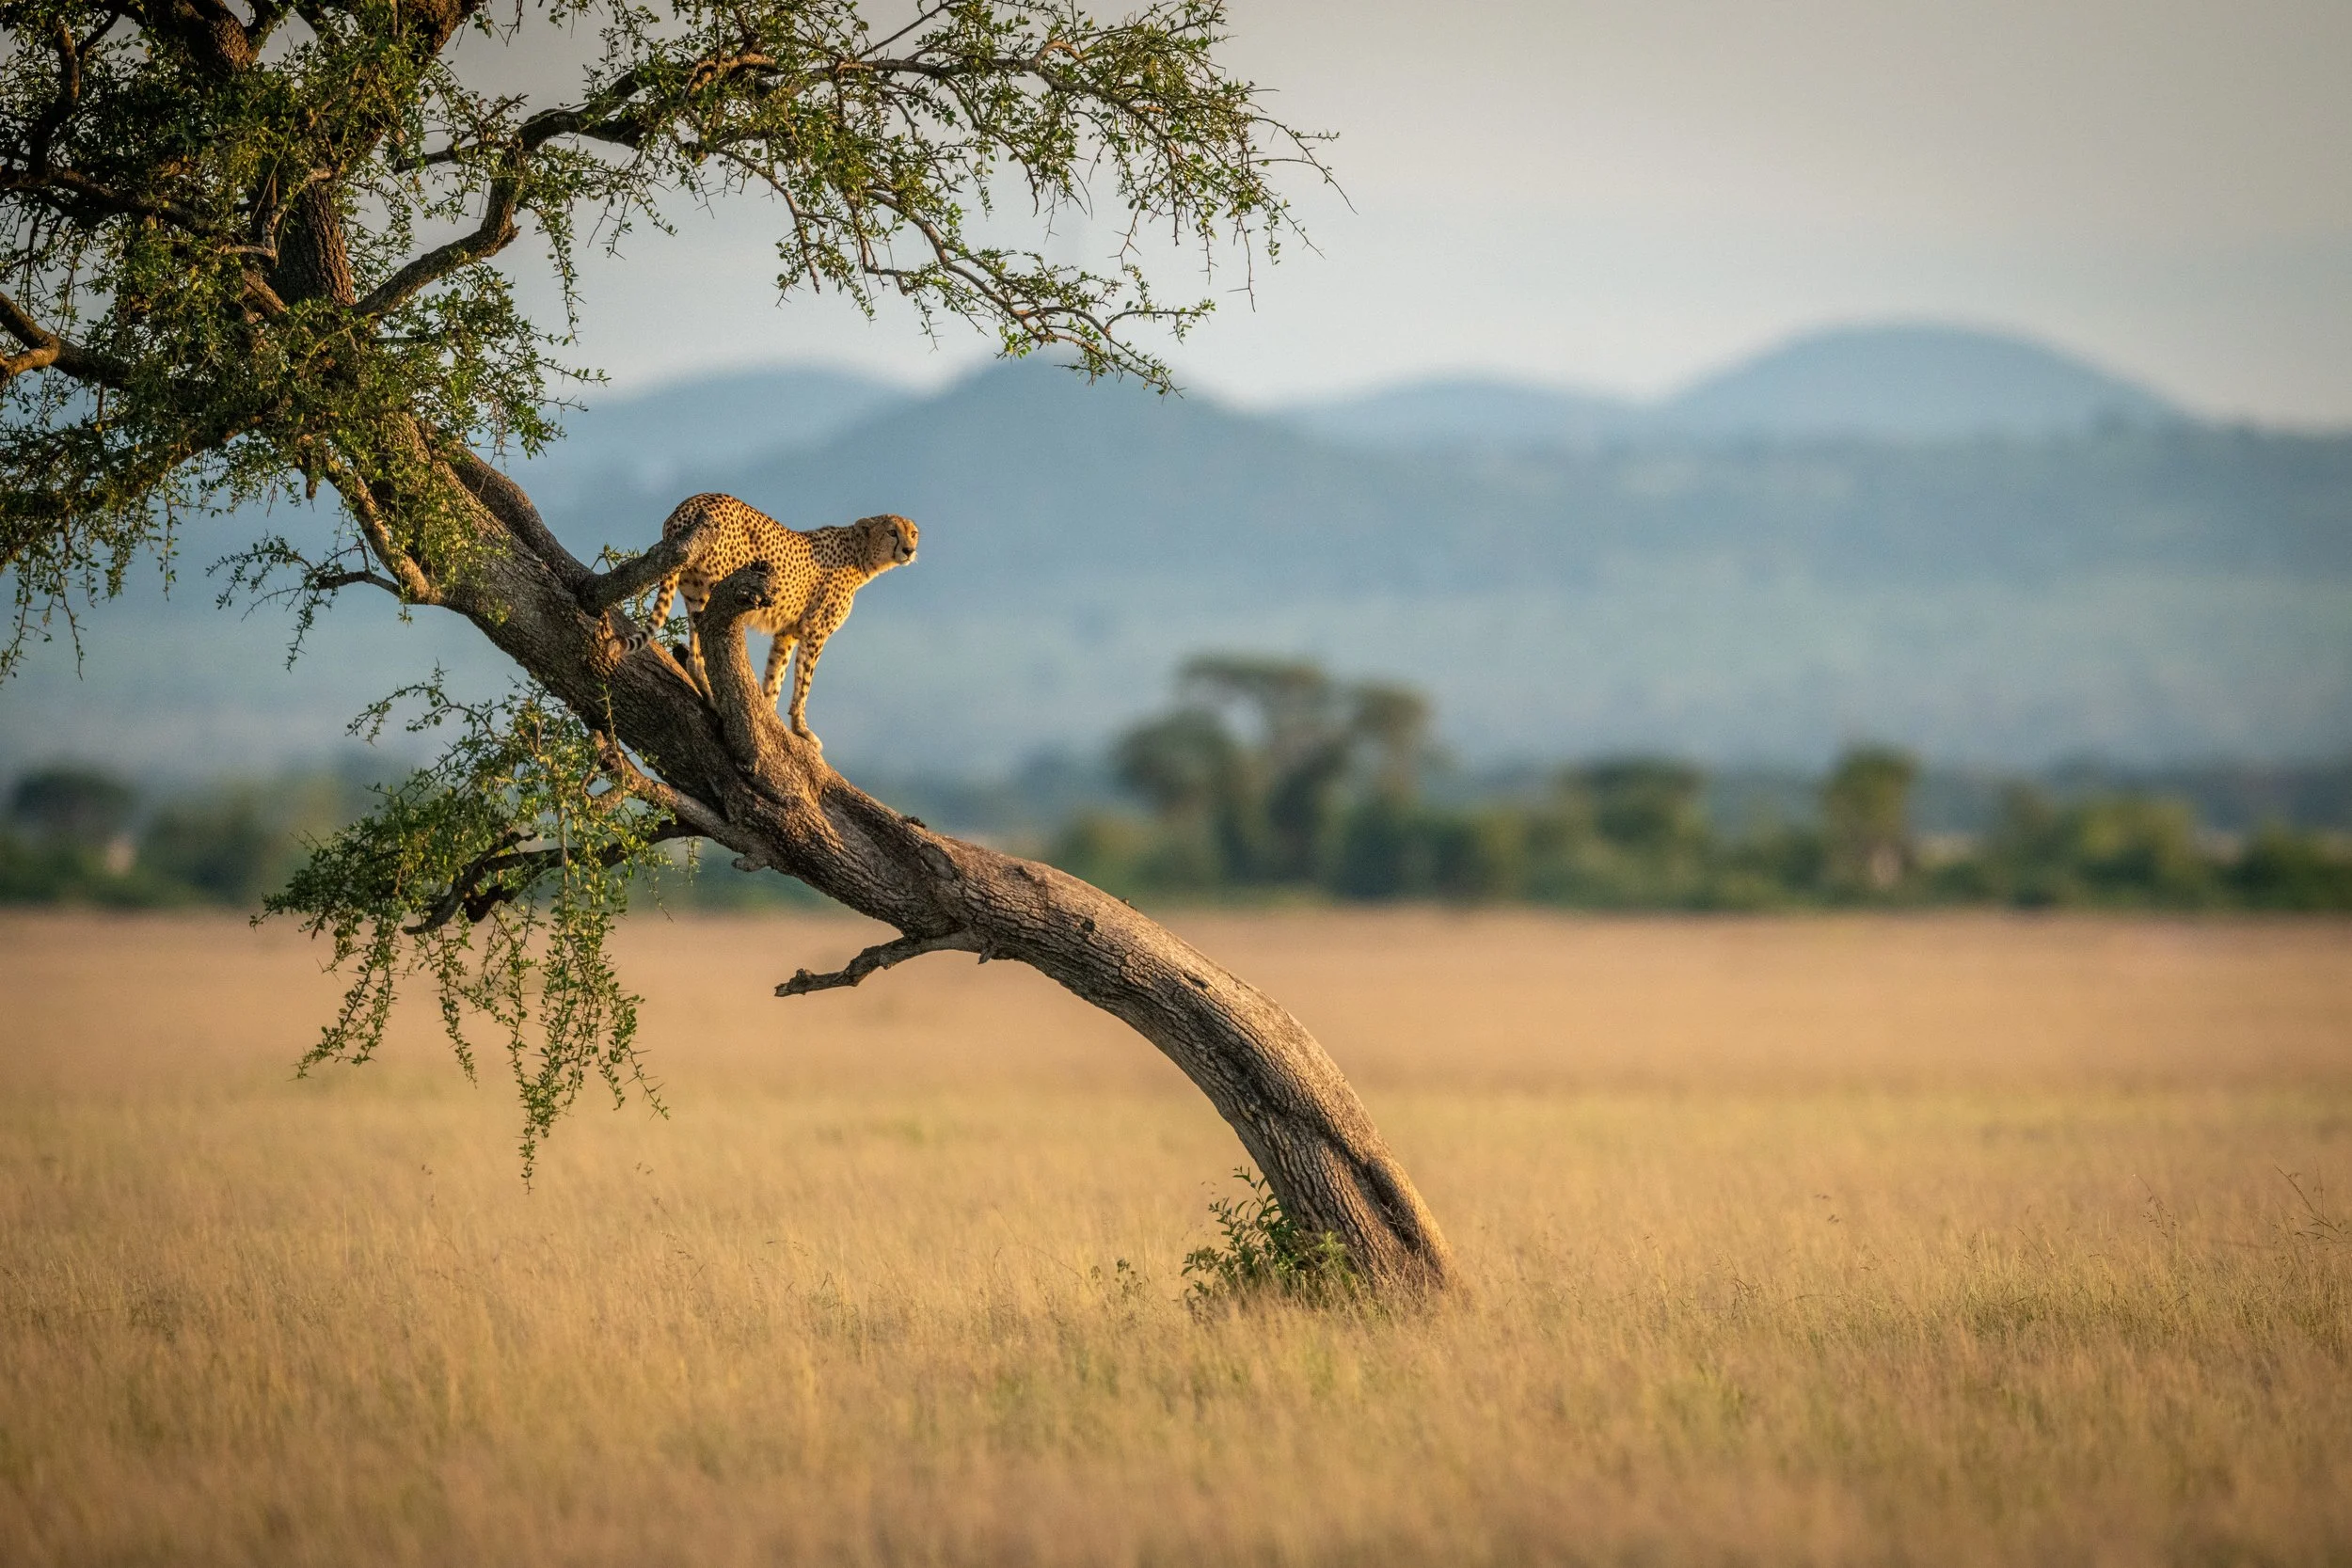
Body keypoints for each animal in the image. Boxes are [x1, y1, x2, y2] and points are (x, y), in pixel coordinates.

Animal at [621, 493, 918, 739]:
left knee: (694, 656)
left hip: (694, 594)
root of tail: (690, 503)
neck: (860, 554)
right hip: (720, 586)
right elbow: (804, 682)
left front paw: (769, 714)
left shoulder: (787, 633)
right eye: (892, 532)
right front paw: (801, 730)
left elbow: (777, 675)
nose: (909, 550)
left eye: (913, 533)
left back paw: (709, 695)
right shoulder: (815, 631)